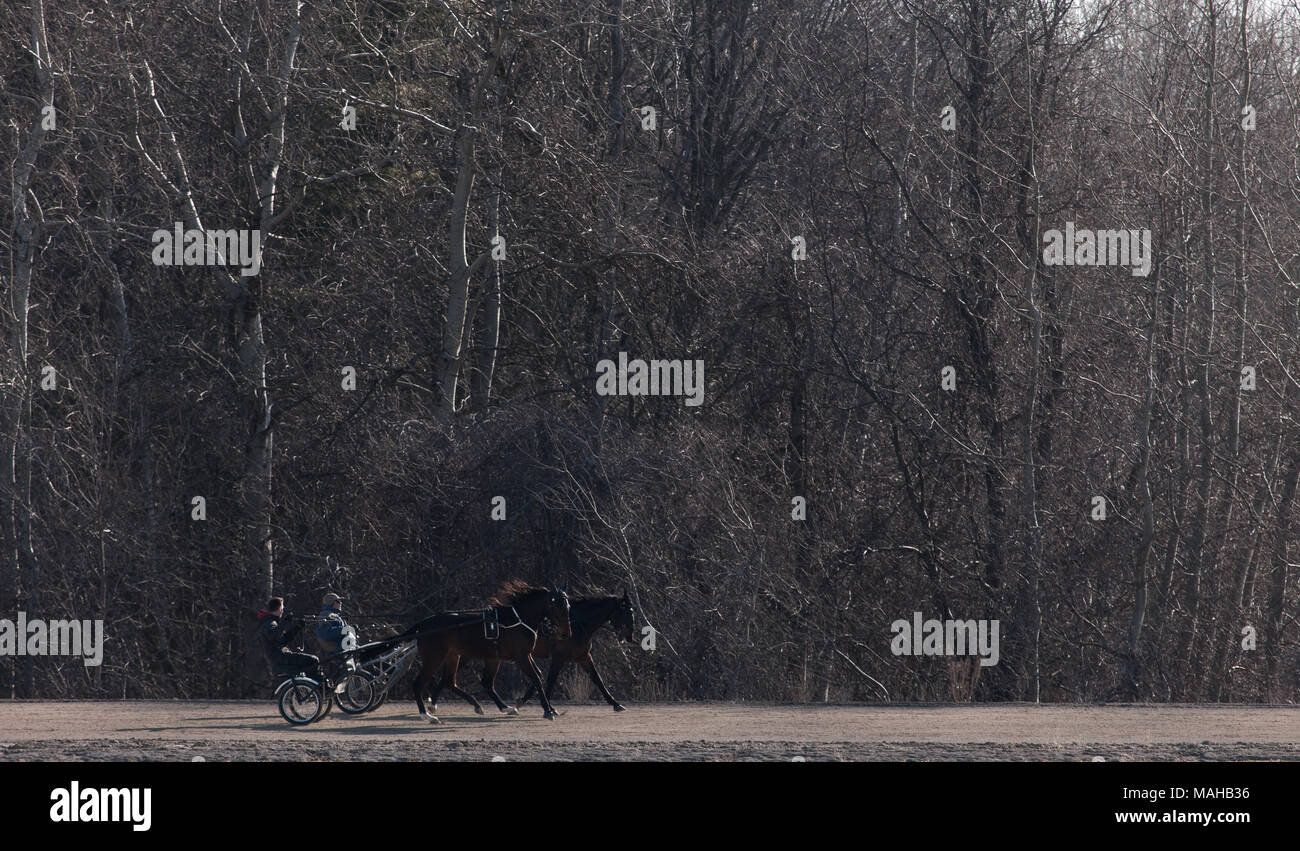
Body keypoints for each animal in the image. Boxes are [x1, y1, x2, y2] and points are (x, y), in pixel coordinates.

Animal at [405, 579, 569, 727]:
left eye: (567, 605)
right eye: (556, 605)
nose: (566, 633)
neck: (517, 619)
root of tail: (423, 624)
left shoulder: (513, 656)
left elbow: (538, 675)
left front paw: (545, 708)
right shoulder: (521, 656)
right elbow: (536, 678)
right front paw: (548, 711)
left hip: (455, 656)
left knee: (452, 681)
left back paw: (490, 706)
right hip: (434, 658)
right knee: (418, 683)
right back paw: (427, 715)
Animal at [439, 589, 637, 717]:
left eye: (631, 611)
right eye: (626, 611)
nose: (630, 636)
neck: (577, 623)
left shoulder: (583, 656)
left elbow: (597, 679)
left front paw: (616, 704)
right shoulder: (558, 657)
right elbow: (549, 680)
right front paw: (547, 707)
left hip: (486, 656)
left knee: (464, 681)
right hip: (467, 654)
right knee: (447, 680)